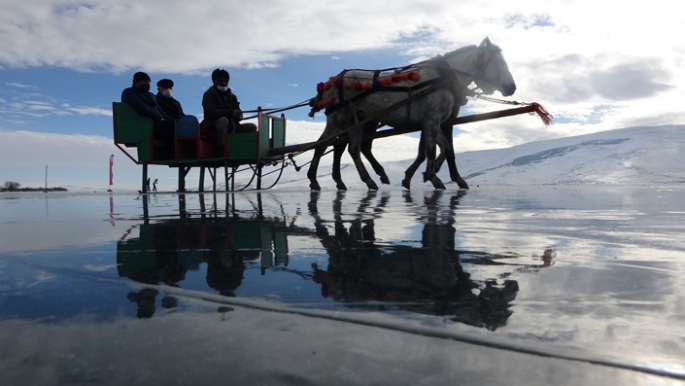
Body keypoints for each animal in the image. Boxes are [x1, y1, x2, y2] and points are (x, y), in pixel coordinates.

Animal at [308, 37, 516, 191]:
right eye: (499, 62)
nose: (512, 88)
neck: (444, 77)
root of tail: (333, 80)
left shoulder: (434, 121)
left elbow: (444, 147)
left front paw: (429, 172)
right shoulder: (432, 119)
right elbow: (433, 149)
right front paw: (433, 176)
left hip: (356, 121)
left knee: (352, 148)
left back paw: (368, 180)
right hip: (338, 118)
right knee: (322, 145)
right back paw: (314, 179)